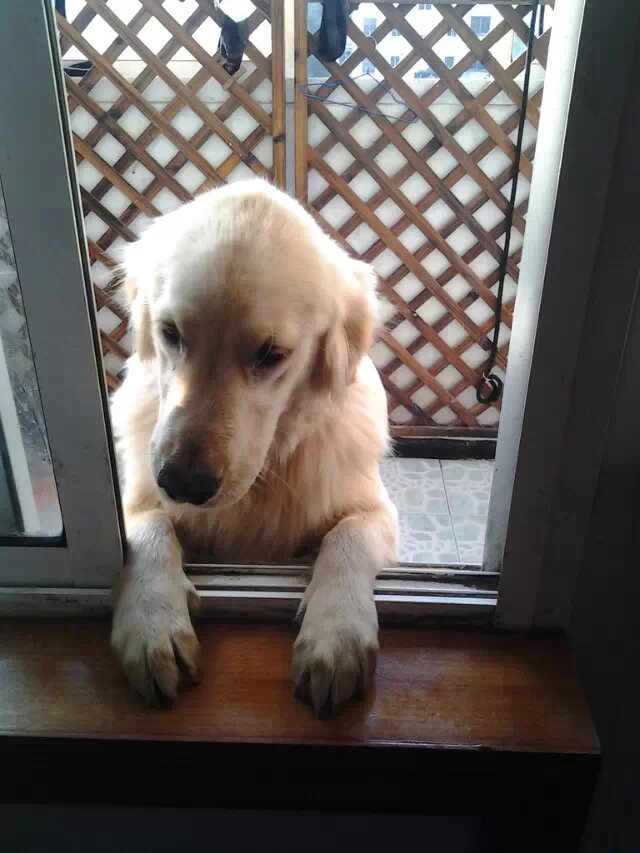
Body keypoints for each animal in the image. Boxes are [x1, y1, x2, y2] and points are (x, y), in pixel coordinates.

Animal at [110, 180, 398, 714]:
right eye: (170, 333)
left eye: (271, 355)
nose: (182, 483)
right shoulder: (136, 496)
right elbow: (150, 530)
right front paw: (153, 622)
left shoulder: (376, 510)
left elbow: (347, 536)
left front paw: (336, 634)